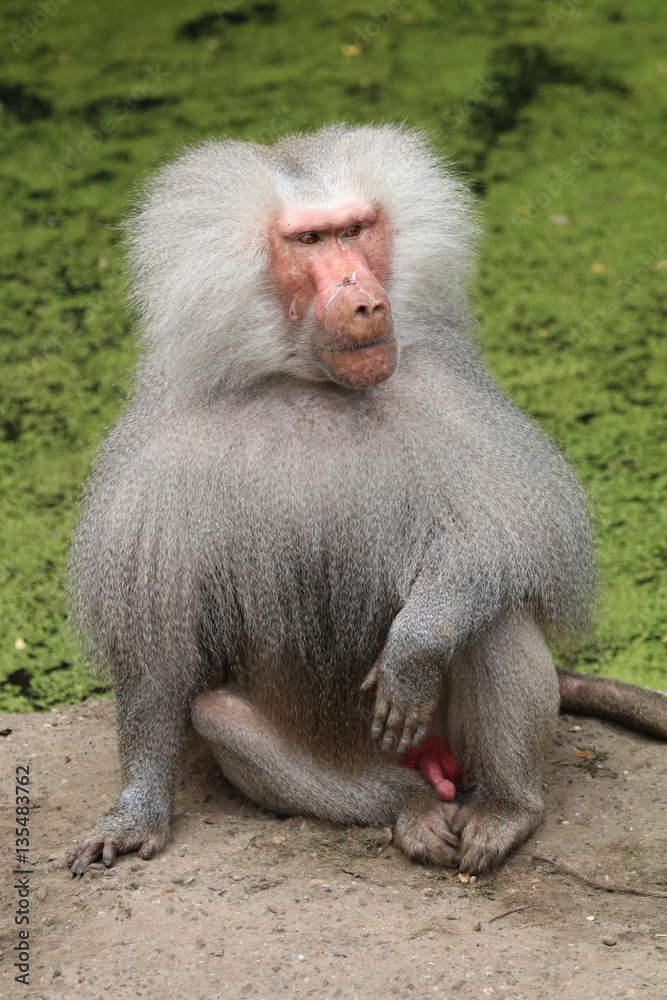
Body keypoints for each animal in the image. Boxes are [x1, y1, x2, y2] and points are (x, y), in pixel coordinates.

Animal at [67, 124, 667, 877]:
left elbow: (511, 534)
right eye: (308, 241)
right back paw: (412, 811)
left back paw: (505, 811)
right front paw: (136, 810)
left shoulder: (445, 394)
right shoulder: (161, 453)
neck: (311, 383)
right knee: (221, 720)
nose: (366, 301)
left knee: (494, 615)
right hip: (348, 754)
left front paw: (412, 650)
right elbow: (157, 650)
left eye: (354, 229)